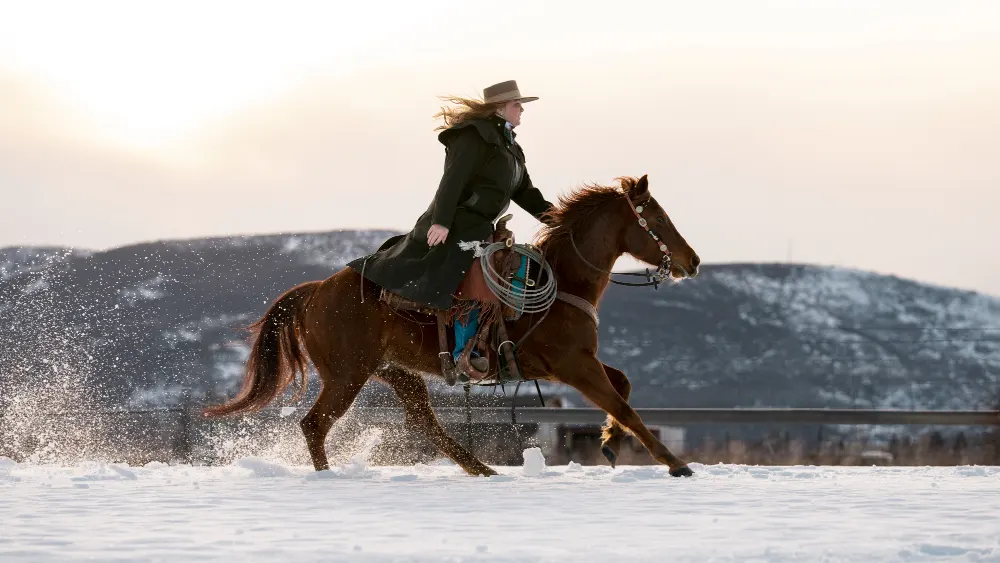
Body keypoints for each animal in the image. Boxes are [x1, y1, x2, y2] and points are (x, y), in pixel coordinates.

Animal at [203, 174, 701, 477]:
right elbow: (625, 405)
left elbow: (624, 389)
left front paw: (610, 442)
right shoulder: (573, 365)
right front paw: (675, 463)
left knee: (423, 422)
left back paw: (480, 468)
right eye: (658, 218)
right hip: (347, 375)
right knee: (314, 424)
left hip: (393, 372)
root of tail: (316, 290)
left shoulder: (576, 363)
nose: (693, 261)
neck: (562, 282)